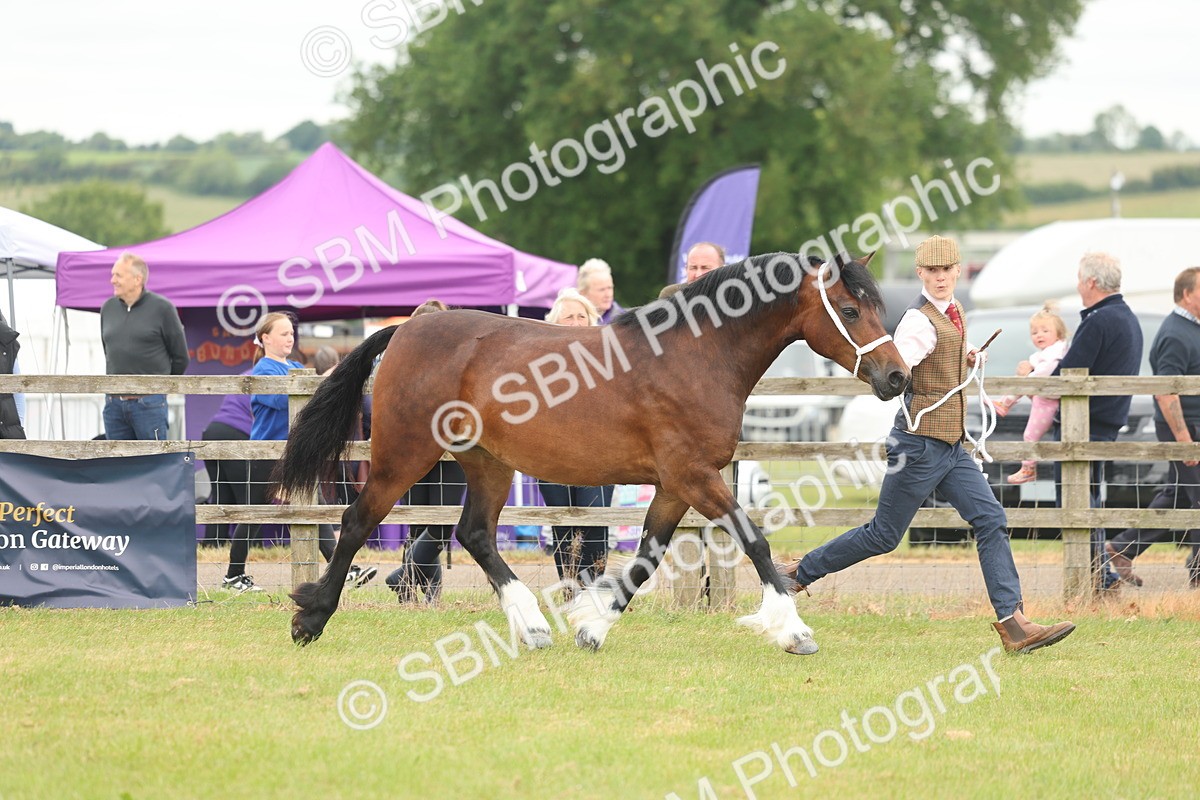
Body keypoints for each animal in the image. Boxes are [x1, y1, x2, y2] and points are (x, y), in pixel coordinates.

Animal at [275, 251, 910, 654]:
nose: (897, 377)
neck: (696, 356)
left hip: (487, 462)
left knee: (475, 534)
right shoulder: (695, 475)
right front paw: (793, 630)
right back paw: (311, 617)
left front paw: (591, 627)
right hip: (405, 455)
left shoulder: (675, 484)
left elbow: (647, 557)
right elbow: (754, 540)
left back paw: (531, 627)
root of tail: (409, 327)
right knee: (357, 520)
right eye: (850, 311)